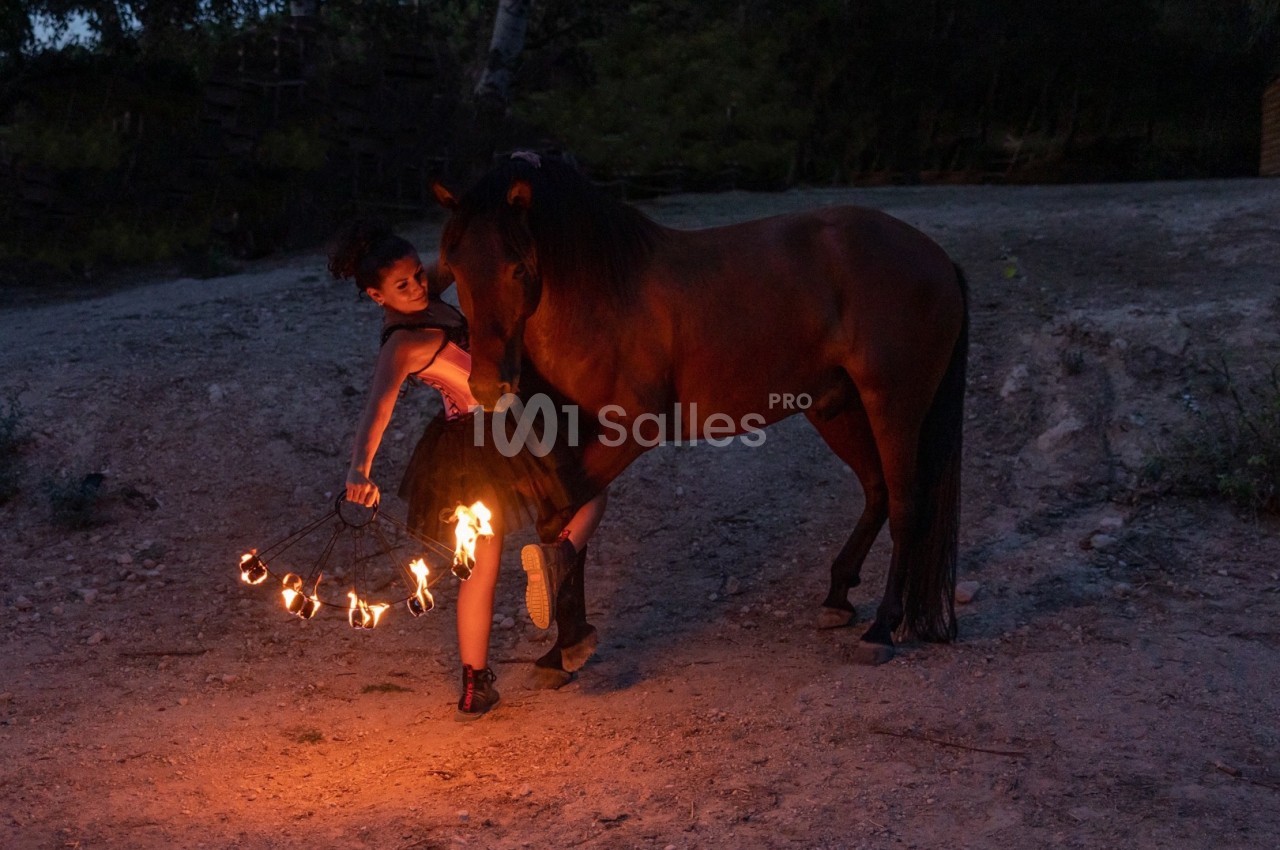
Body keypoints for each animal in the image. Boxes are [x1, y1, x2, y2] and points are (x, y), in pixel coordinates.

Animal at [431, 154, 968, 676]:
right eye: (454, 268)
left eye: (518, 269)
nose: (487, 386)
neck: (603, 299)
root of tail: (935, 256)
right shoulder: (572, 441)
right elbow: (566, 526)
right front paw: (563, 650)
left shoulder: (631, 431)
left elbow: (555, 520)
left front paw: (569, 645)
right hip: (837, 409)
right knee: (877, 492)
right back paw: (837, 597)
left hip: (893, 405)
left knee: (906, 507)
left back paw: (882, 628)